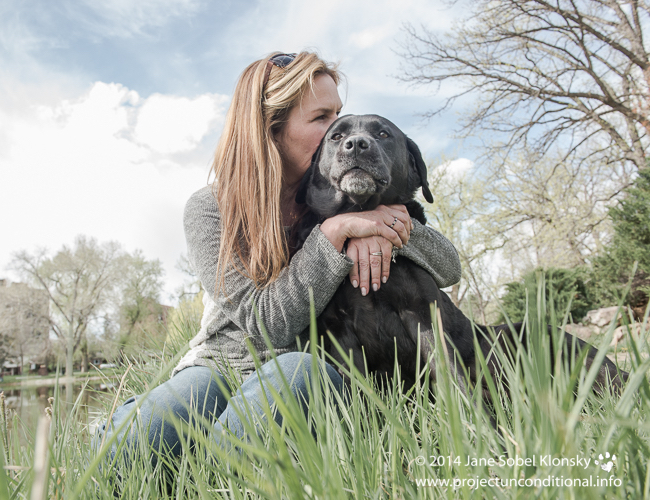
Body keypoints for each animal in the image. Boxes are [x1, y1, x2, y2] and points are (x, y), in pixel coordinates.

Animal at [292, 115, 624, 396]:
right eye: (337, 136)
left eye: (383, 134)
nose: (357, 144)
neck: (363, 214)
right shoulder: (338, 332)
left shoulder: (423, 313)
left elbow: (451, 375)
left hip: (531, 334)